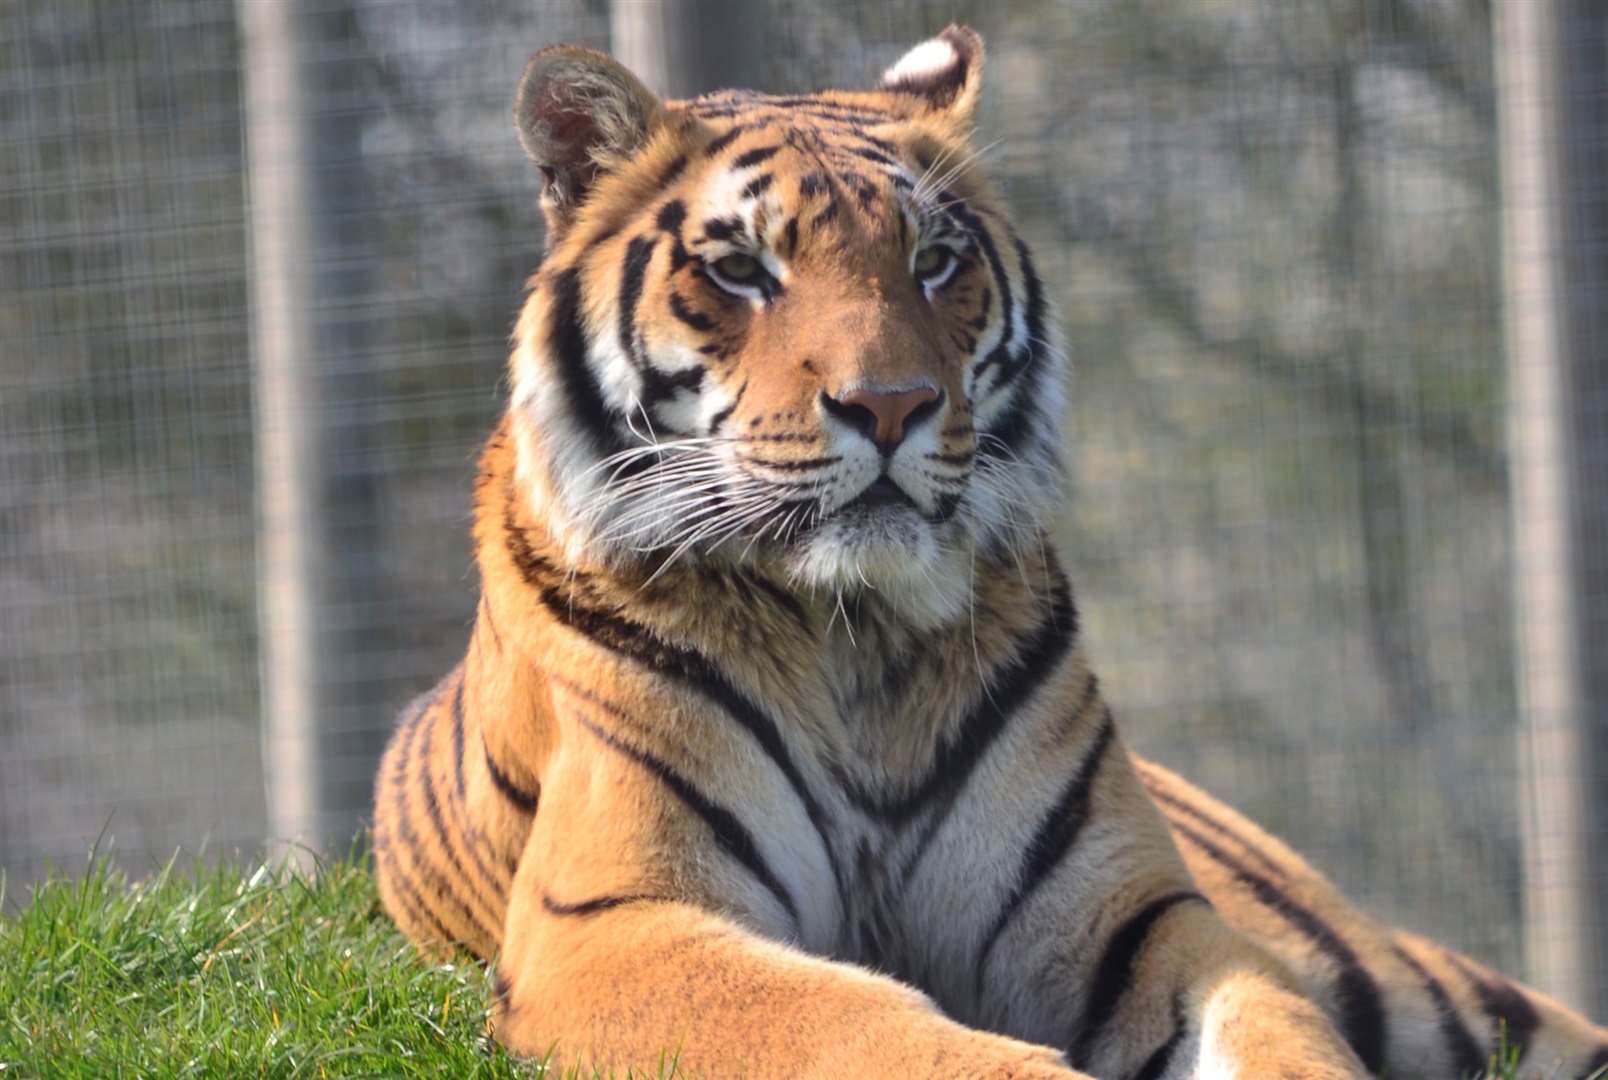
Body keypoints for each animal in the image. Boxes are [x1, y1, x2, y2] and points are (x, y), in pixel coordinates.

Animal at [368, 25, 1608, 1080]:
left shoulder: (1137, 917)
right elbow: (862, 1024)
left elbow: (1276, 1026)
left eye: (933, 259)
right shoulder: (617, 919)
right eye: (740, 270)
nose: (889, 405)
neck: (851, 631)